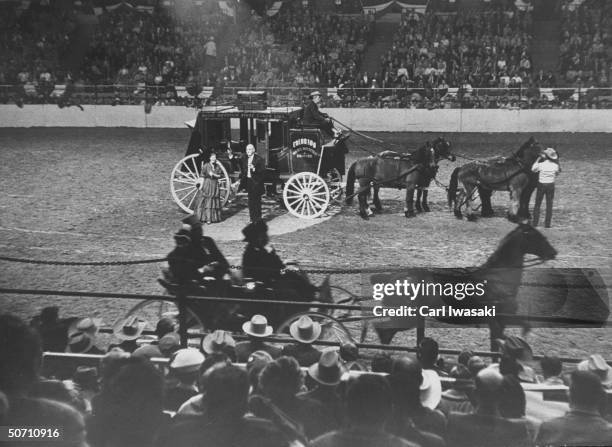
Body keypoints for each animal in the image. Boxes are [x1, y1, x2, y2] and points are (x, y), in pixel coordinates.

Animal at [366, 224, 556, 350]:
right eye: (538, 237)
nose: (554, 253)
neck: (498, 279)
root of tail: (394, 277)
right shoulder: (500, 321)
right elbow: (516, 332)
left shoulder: (499, 323)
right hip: (407, 318)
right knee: (383, 329)